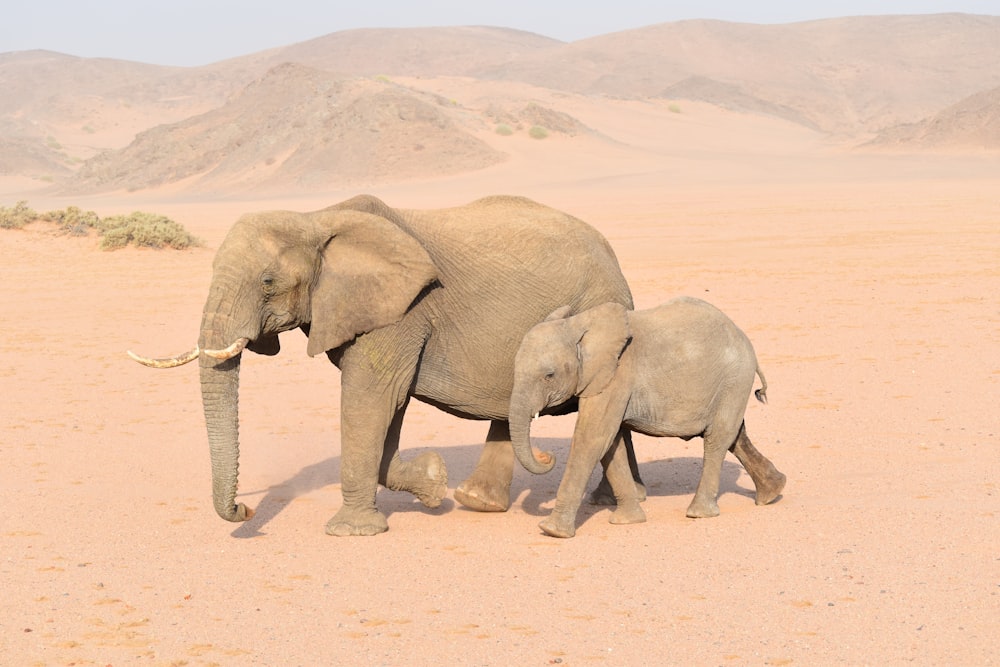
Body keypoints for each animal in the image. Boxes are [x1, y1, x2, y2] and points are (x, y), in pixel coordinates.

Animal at [129, 194, 636, 536]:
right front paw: (433, 483)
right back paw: (478, 502)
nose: (245, 511)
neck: (316, 219)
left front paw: (351, 531)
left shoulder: (402, 310)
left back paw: (602, 503)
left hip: (599, 303)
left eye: (267, 281)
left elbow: (371, 397)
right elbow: (386, 410)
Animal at [512, 298, 784, 536]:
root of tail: (744, 339)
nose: (546, 456)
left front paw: (552, 531)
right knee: (735, 436)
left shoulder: (617, 375)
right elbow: (611, 443)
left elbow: (593, 438)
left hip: (734, 379)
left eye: (549, 375)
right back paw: (772, 493)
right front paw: (628, 521)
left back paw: (698, 513)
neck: (578, 324)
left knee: (717, 439)